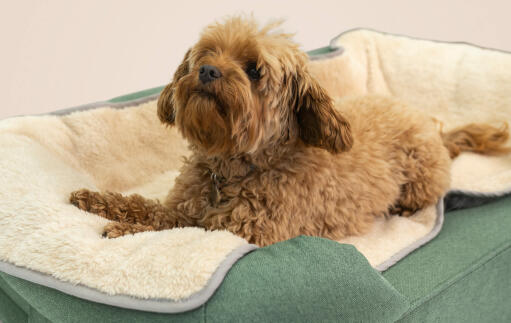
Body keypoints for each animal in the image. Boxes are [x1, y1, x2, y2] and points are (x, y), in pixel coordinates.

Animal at [70, 17, 510, 247]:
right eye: (207, 53)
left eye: (253, 70)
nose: (207, 70)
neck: (232, 168)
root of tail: (431, 126)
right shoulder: (185, 205)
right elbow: (152, 208)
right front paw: (96, 200)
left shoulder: (245, 232)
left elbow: (177, 226)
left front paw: (124, 230)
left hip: (420, 179)